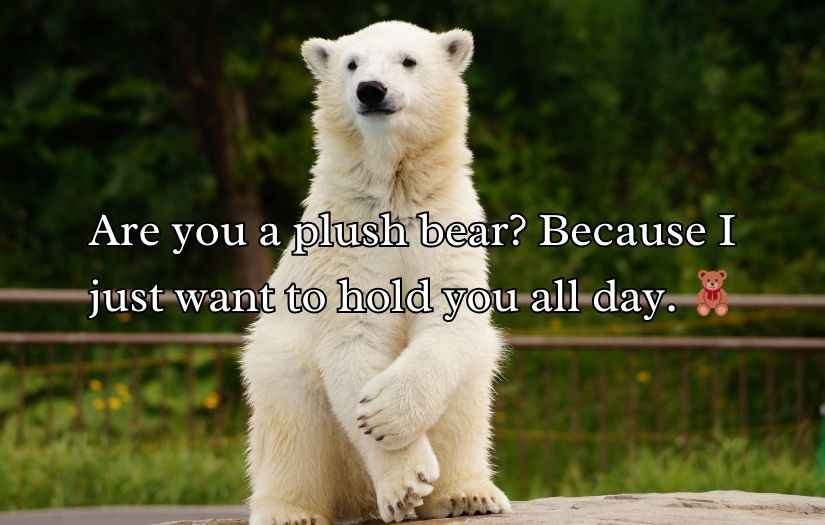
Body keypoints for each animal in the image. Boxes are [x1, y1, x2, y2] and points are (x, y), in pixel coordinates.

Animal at [241, 21, 511, 525]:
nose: (371, 89)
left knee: (468, 403)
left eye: (408, 60)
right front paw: (405, 482)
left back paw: (468, 494)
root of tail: (355, 498)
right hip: (281, 373)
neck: (394, 192)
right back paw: (291, 510)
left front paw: (388, 418)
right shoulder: (344, 244)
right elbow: (354, 338)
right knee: (291, 426)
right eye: (352, 64)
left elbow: (449, 321)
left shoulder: (444, 227)